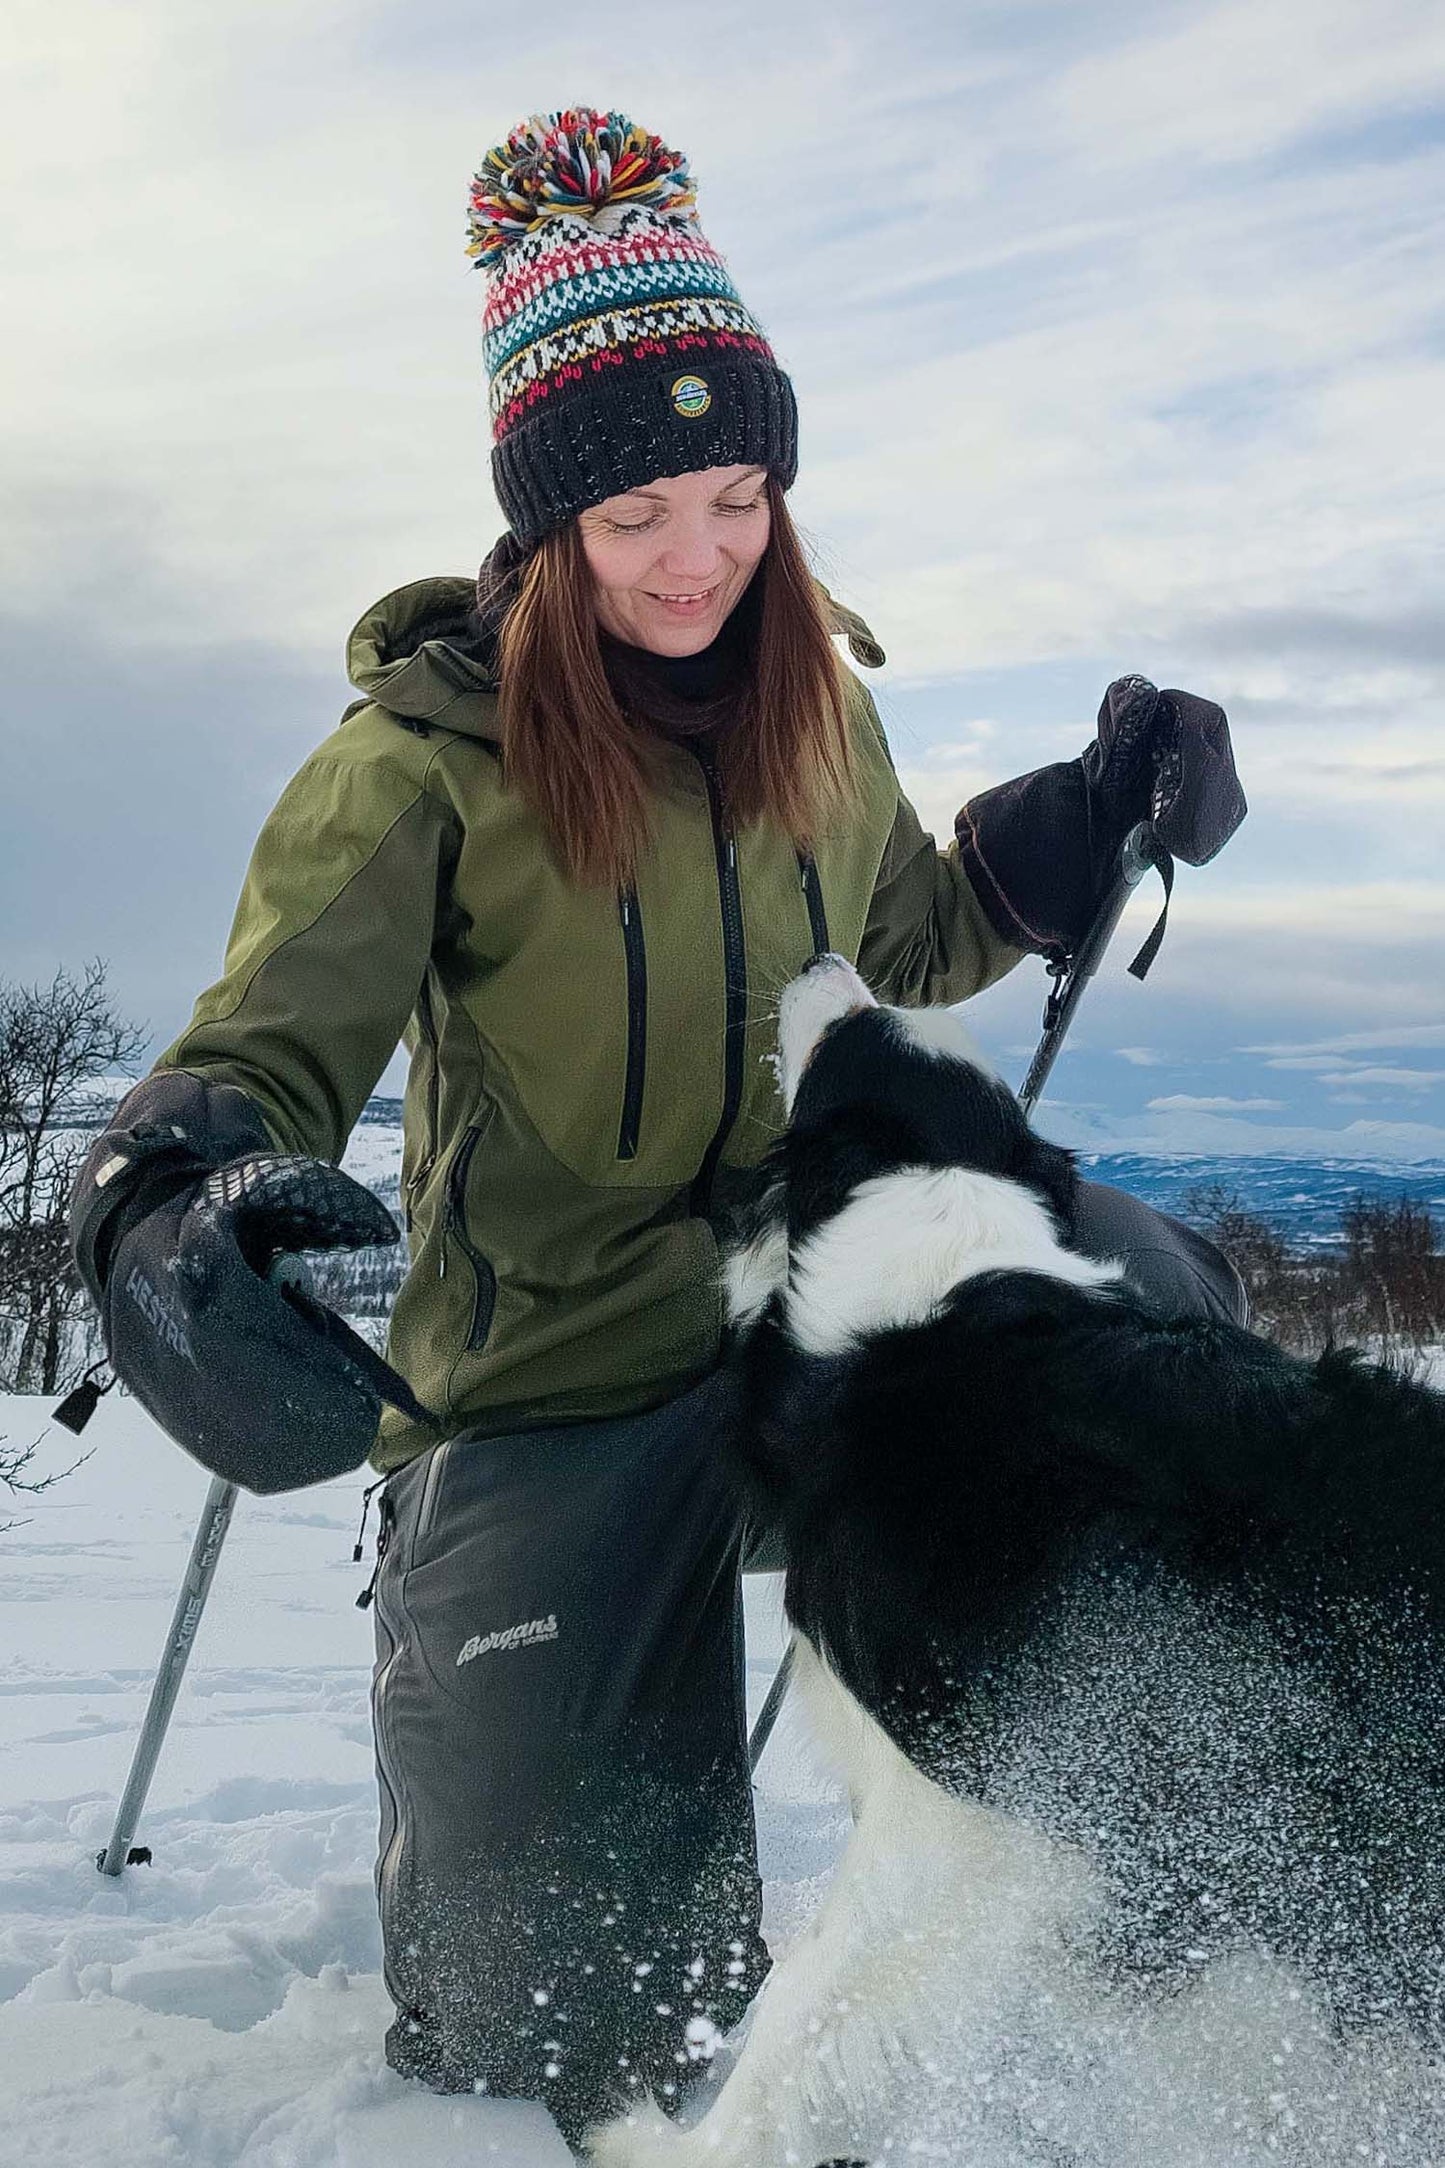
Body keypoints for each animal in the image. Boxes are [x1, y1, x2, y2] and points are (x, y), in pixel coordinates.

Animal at [593, 962, 1445, 2168]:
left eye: (854, 1030)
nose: (821, 964)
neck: (930, 1238)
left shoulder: (974, 1807)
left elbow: (806, 1993)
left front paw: (680, 2146)